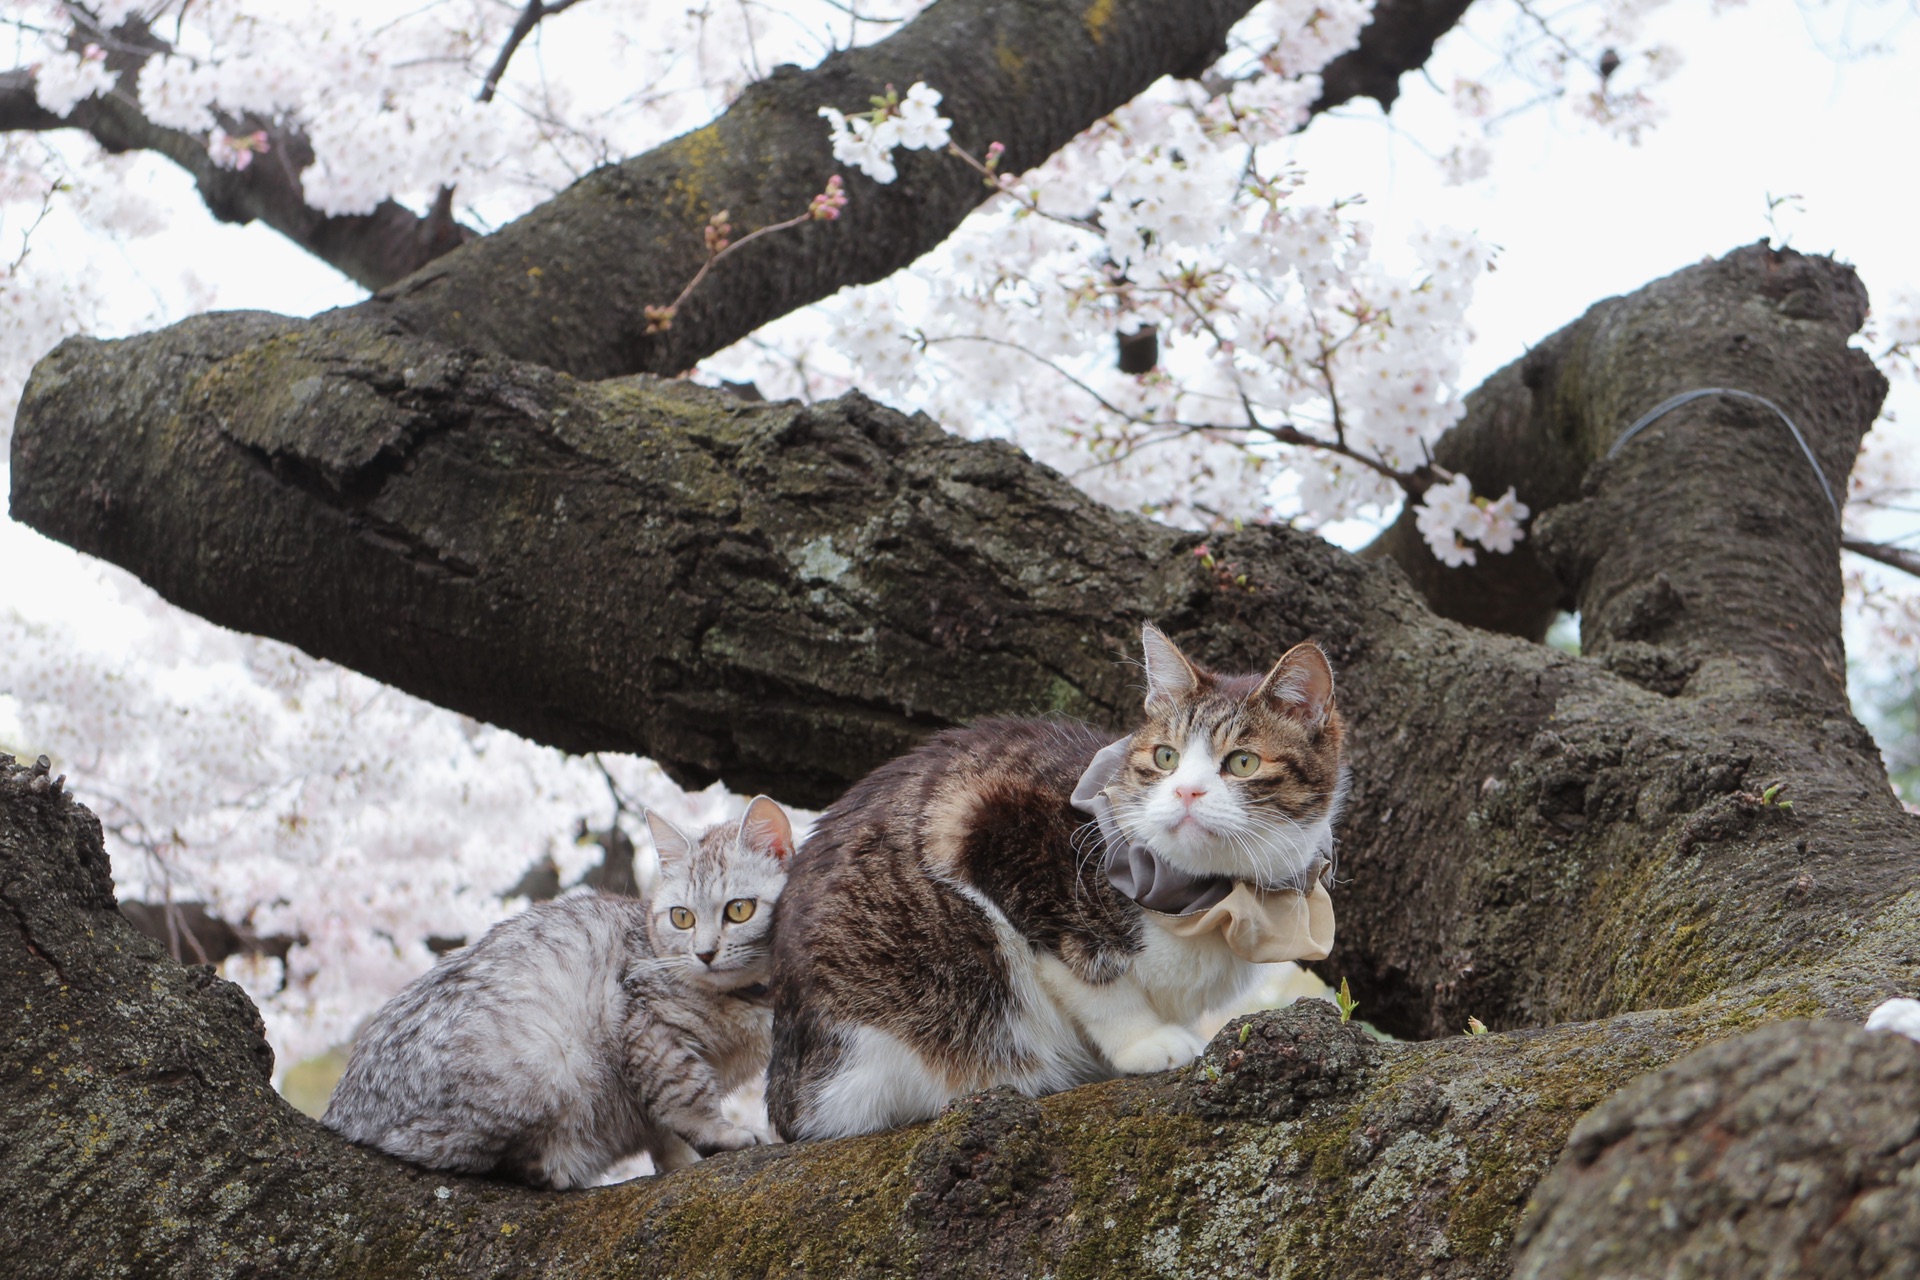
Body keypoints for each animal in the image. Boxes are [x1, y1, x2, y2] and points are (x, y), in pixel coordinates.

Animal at [322, 794, 794, 1189]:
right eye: (682, 917)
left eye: (739, 910)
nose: (704, 953)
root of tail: (342, 1114)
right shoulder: (647, 1027)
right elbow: (685, 1096)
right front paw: (722, 1134)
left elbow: (664, 1133)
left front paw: (682, 1161)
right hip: (548, 1058)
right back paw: (556, 1165)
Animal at [768, 625, 1351, 1136]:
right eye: (1166, 757)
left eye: (1243, 762)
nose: (1186, 792)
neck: (1208, 896)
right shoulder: (991, 828)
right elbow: (1091, 974)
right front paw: (1146, 1042)